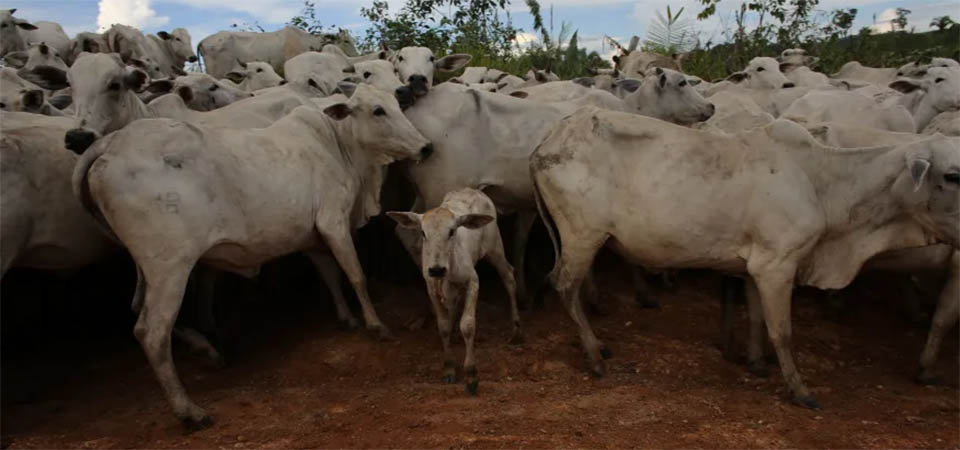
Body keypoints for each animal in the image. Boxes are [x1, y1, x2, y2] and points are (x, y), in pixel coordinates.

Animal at [70, 83, 432, 429]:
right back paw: (190, 411)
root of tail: (112, 143)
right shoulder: (334, 223)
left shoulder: (311, 236)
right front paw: (375, 325)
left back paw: (206, 349)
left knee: (137, 310)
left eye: (397, 103)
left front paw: (347, 318)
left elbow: (329, 273)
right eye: (378, 110)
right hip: (169, 267)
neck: (336, 142)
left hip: (147, 269)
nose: (425, 147)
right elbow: (355, 274)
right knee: (151, 331)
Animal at [387, 188, 521, 394]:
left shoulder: (473, 281)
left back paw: (516, 329)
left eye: (451, 231)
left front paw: (471, 375)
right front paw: (449, 367)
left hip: (495, 247)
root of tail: (471, 190)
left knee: (508, 277)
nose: (436, 270)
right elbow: (443, 326)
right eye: (423, 232)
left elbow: (468, 325)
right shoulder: (432, 289)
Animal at [530, 111, 958, 409]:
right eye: (953, 175)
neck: (822, 182)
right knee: (563, 285)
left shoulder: (755, 267)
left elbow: (755, 316)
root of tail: (546, 141)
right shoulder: (778, 264)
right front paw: (800, 390)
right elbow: (782, 331)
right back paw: (593, 356)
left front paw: (755, 362)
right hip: (583, 234)